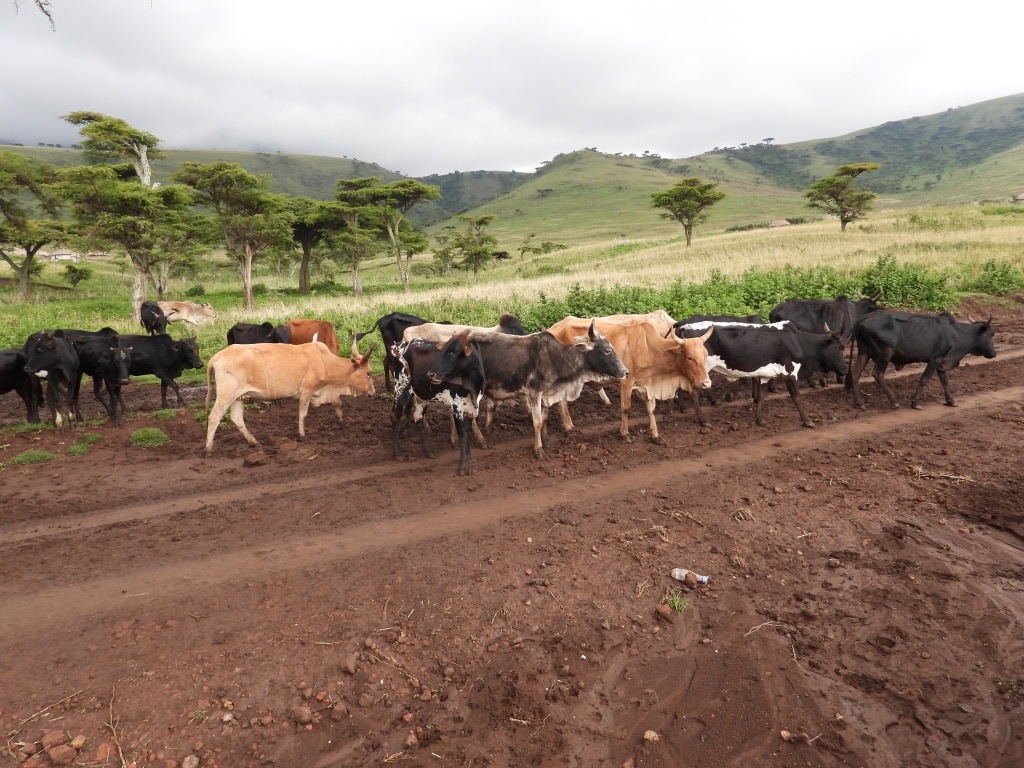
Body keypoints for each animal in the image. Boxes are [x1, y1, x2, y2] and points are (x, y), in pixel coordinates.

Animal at [203, 339, 376, 454]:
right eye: (368, 373)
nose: (373, 392)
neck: (324, 362)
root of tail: (219, 355)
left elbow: (336, 403)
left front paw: (341, 419)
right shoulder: (306, 390)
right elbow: (303, 415)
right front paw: (302, 435)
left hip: (239, 396)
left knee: (237, 418)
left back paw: (254, 441)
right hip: (226, 395)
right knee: (214, 417)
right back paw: (208, 449)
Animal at [391, 335, 487, 475]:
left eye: (452, 353)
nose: (431, 374)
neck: (472, 387)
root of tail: (400, 344)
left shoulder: (472, 408)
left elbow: (467, 430)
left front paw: (468, 456)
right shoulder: (456, 407)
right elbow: (462, 434)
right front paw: (463, 466)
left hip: (421, 396)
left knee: (418, 418)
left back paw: (429, 452)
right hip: (400, 388)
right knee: (395, 416)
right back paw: (397, 454)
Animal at [428, 321, 626, 460]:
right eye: (607, 350)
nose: (625, 371)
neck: (555, 358)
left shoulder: (545, 393)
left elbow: (544, 418)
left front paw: (546, 440)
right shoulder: (534, 392)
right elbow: (536, 421)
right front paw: (539, 450)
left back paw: (457, 439)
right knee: (469, 415)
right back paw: (481, 440)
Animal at [675, 319, 843, 428]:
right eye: (838, 348)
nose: (844, 370)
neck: (796, 341)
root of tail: (684, 327)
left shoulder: (765, 375)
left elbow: (762, 396)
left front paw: (759, 419)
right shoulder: (790, 373)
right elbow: (796, 397)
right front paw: (807, 420)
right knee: (694, 392)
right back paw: (703, 420)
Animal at [851, 311, 995, 411]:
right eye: (991, 334)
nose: (994, 353)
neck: (956, 334)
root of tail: (865, 318)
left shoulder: (941, 361)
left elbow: (945, 381)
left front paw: (951, 401)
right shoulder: (935, 359)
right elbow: (924, 379)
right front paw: (915, 403)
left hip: (864, 352)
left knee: (855, 374)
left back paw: (860, 404)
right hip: (884, 354)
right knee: (877, 374)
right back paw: (894, 401)